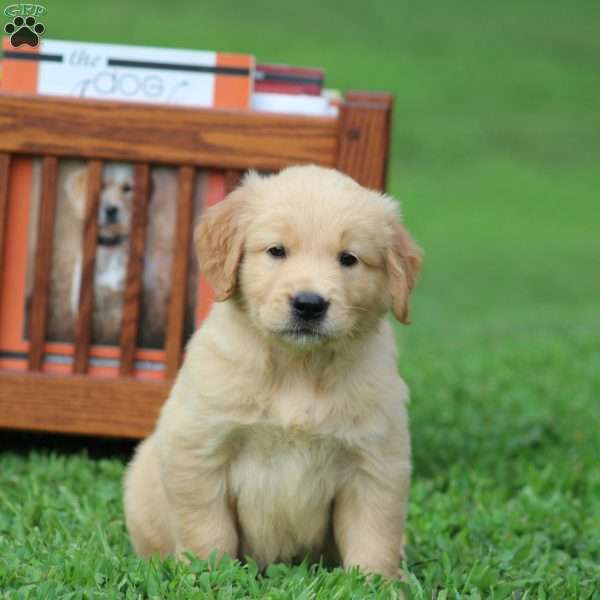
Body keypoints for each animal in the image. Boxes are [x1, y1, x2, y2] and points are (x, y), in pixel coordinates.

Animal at [122, 166, 422, 580]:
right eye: (276, 251)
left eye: (349, 258)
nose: (309, 304)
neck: (296, 366)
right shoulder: (199, 450)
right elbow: (208, 531)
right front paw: (207, 578)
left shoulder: (376, 462)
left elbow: (374, 537)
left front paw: (379, 585)